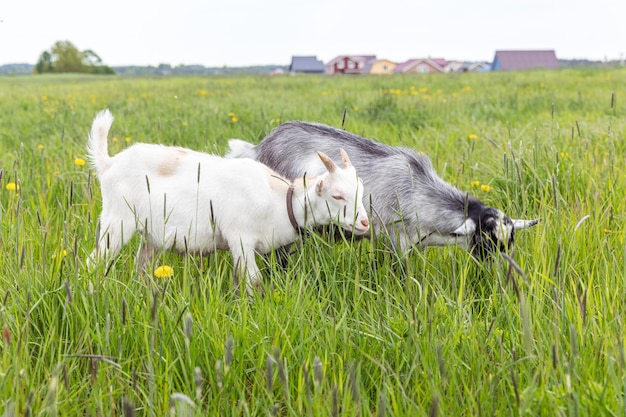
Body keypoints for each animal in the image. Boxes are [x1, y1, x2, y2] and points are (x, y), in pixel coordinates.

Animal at [84, 109, 366, 294]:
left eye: (361, 190)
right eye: (337, 195)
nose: (364, 222)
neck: (279, 201)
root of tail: (109, 163)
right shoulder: (240, 237)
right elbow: (253, 280)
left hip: (150, 236)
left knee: (141, 267)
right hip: (117, 221)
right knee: (95, 262)